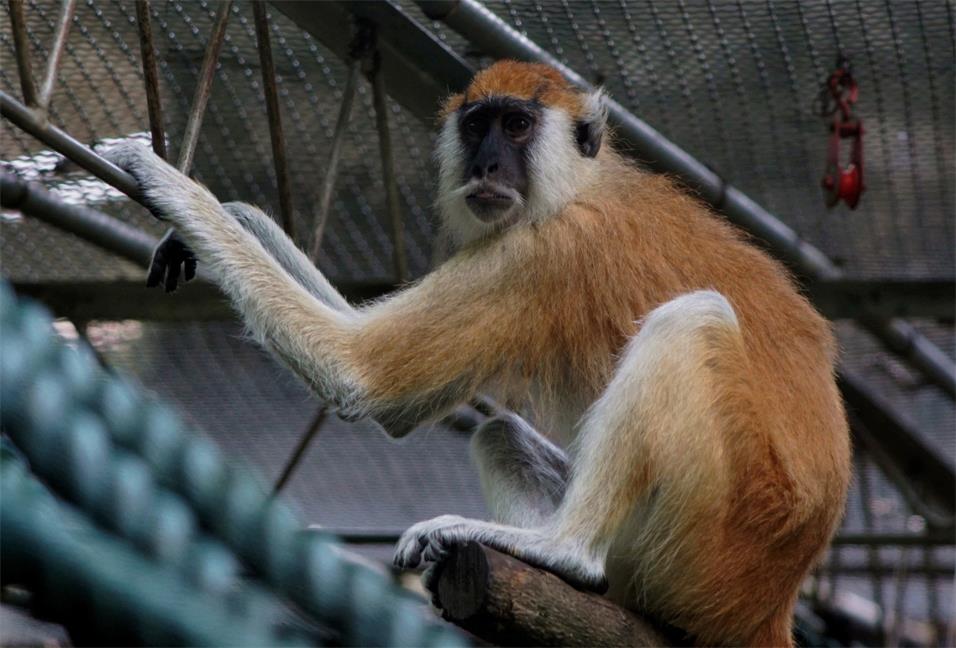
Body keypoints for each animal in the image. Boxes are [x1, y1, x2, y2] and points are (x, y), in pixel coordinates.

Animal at [106, 61, 851, 646]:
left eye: (517, 126)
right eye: (476, 125)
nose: (488, 163)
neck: (577, 184)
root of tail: (774, 601)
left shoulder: (542, 254)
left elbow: (362, 374)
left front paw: (162, 178)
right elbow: (392, 398)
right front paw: (232, 213)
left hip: (720, 539)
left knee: (692, 321)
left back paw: (560, 553)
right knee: (500, 433)